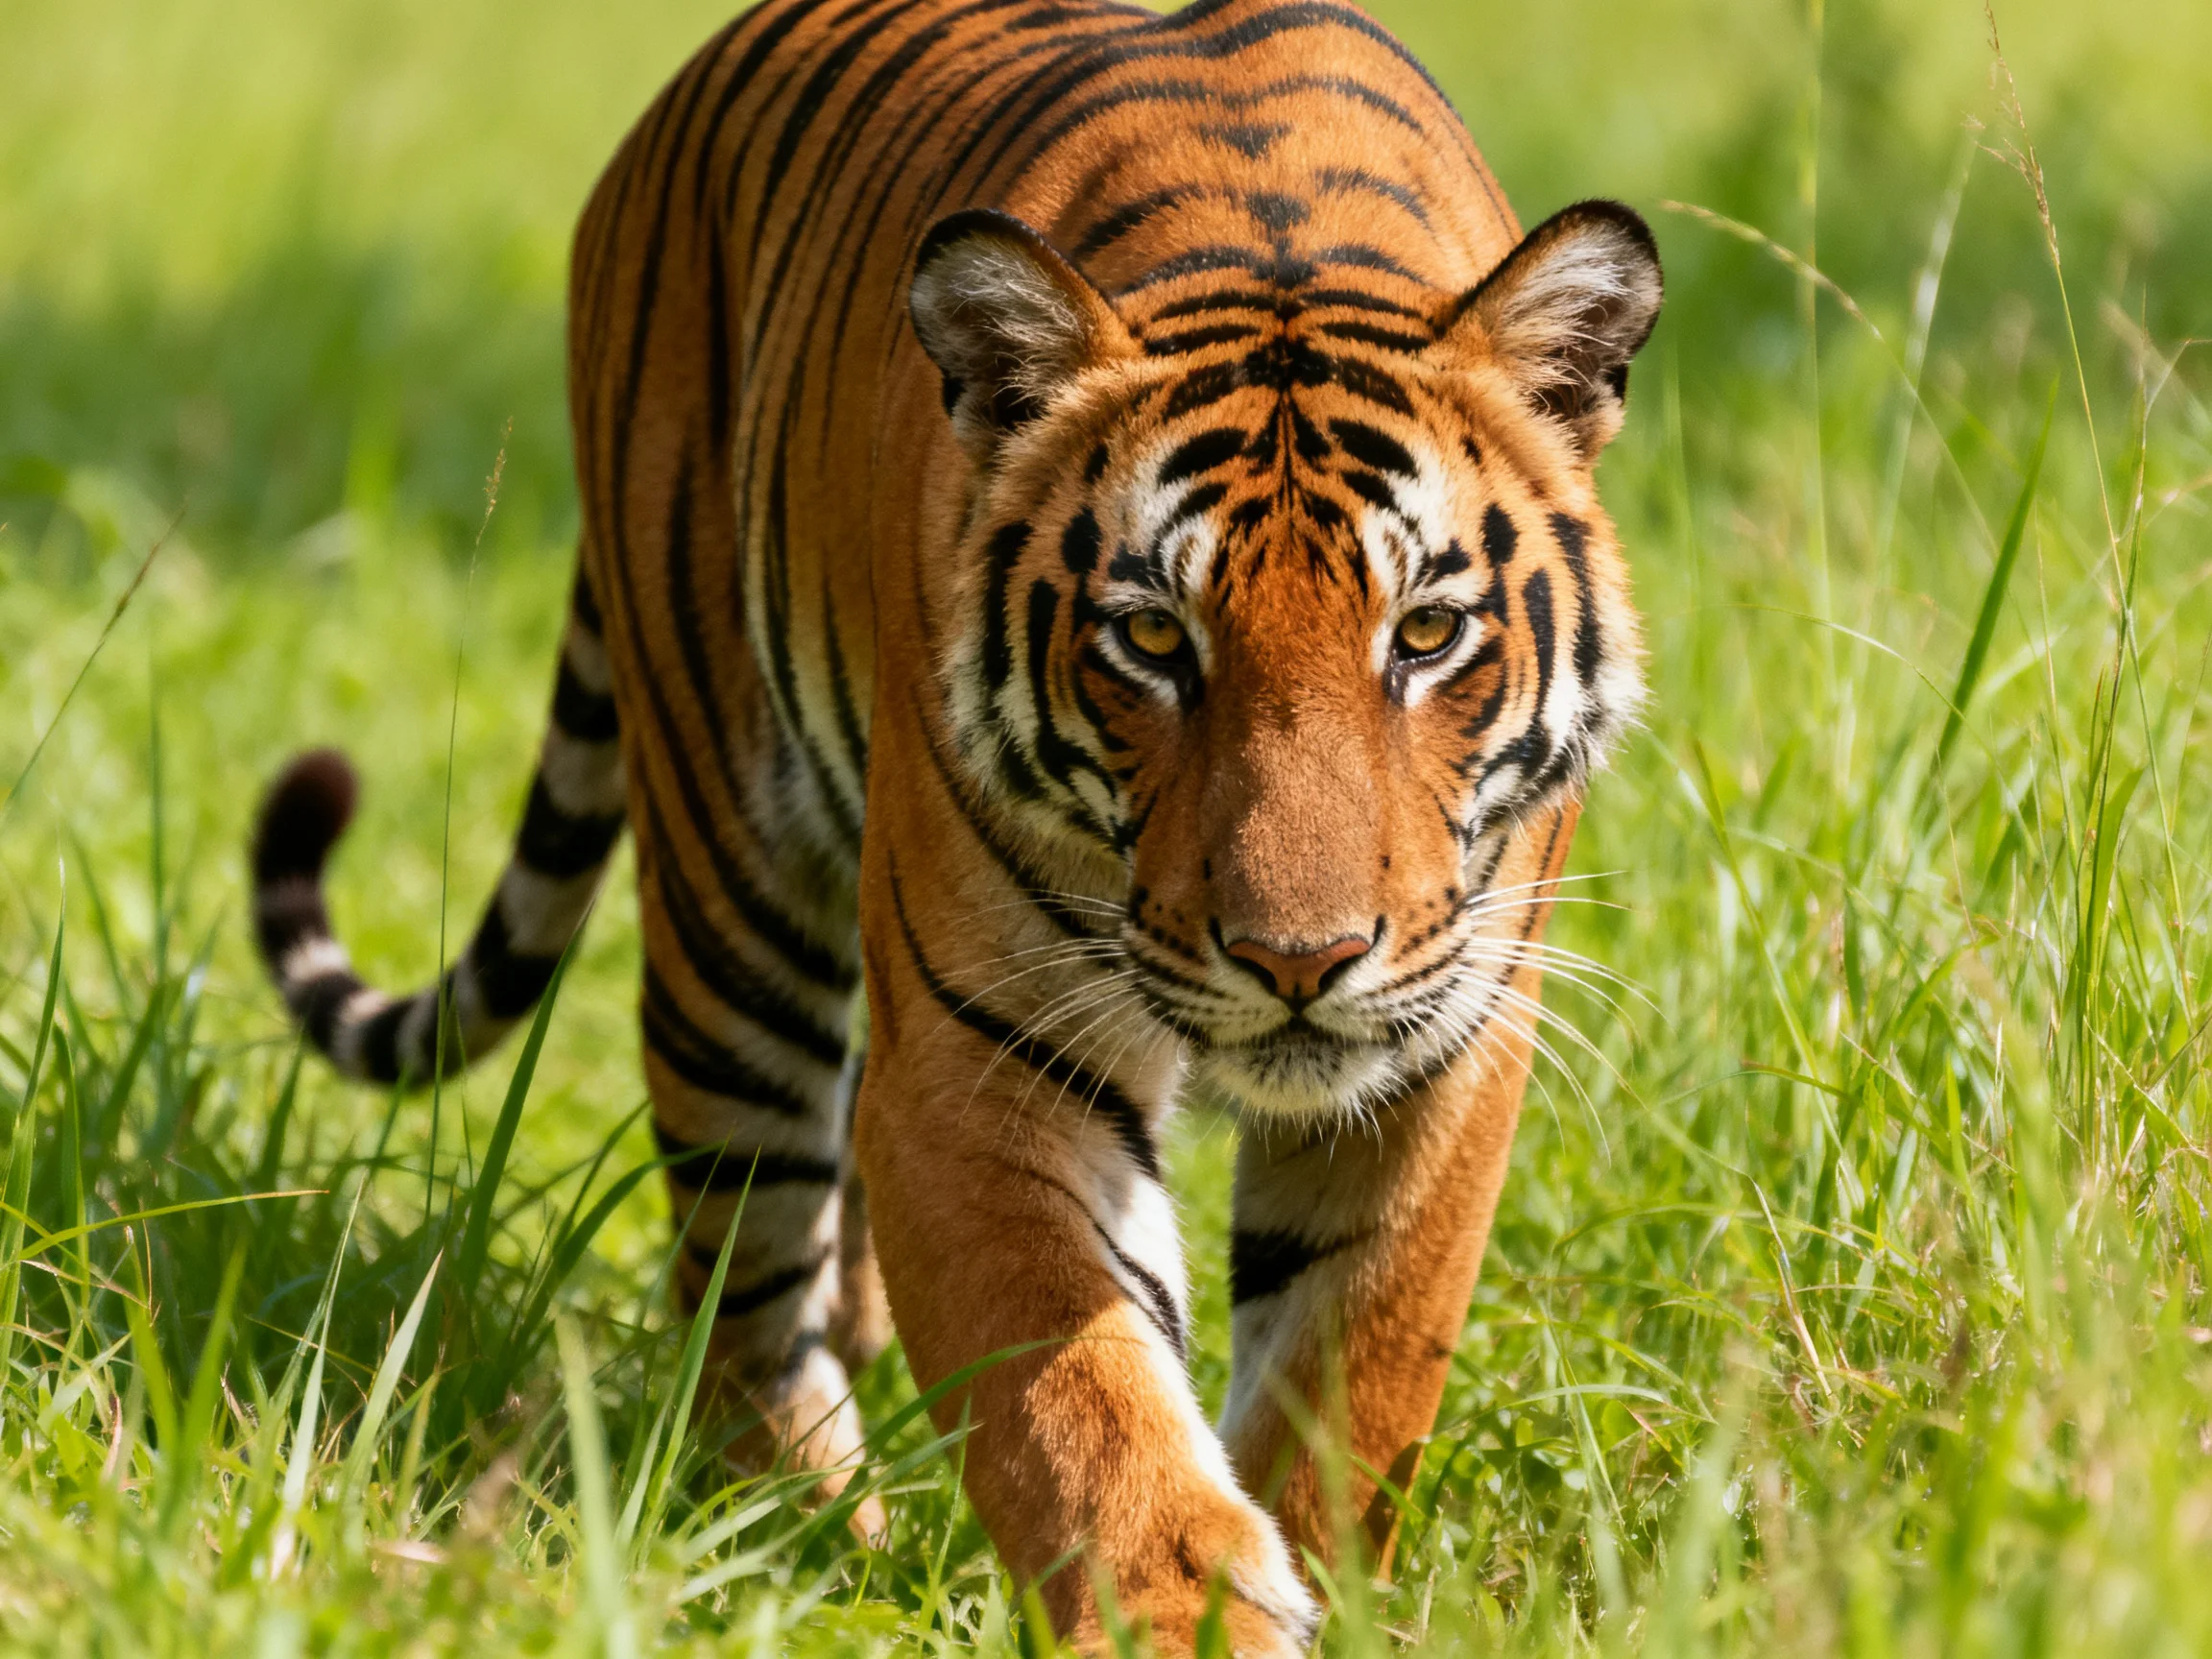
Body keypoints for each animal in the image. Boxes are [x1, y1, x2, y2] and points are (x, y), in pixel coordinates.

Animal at [249, 0, 1660, 1649]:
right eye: (1154, 639)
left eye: (1426, 634)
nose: (1298, 963)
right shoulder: (983, 1062)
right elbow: (1084, 1399)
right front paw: (1183, 1614)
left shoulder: (1443, 1049)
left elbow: (1350, 1373)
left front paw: (1321, 1581)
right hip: (729, 900)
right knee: (745, 1267)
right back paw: (800, 1544)